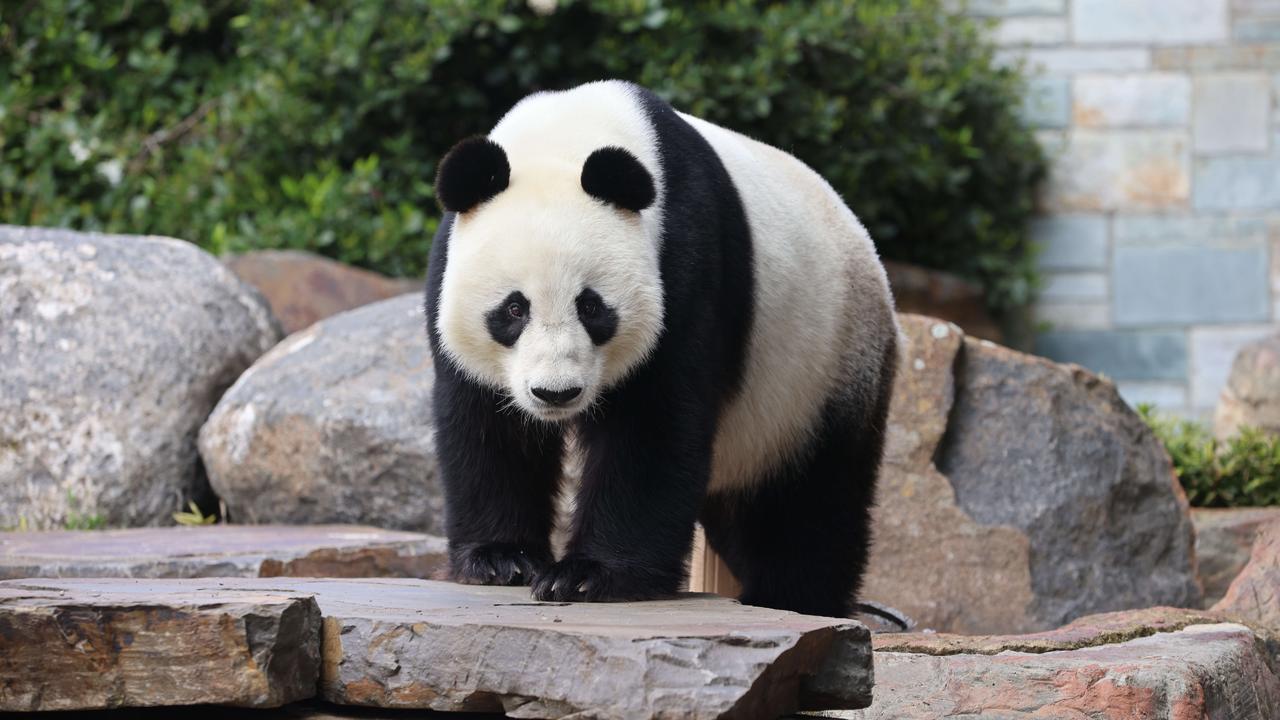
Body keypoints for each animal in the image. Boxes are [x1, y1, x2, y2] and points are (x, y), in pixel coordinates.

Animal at [424, 79, 896, 617]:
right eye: (514, 309)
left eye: (591, 307)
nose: (555, 393)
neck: (567, 137)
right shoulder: (450, 275)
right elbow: (487, 425)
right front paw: (503, 559)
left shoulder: (684, 262)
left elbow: (652, 424)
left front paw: (588, 576)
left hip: (823, 368)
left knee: (808, 500)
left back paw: (792, 598)